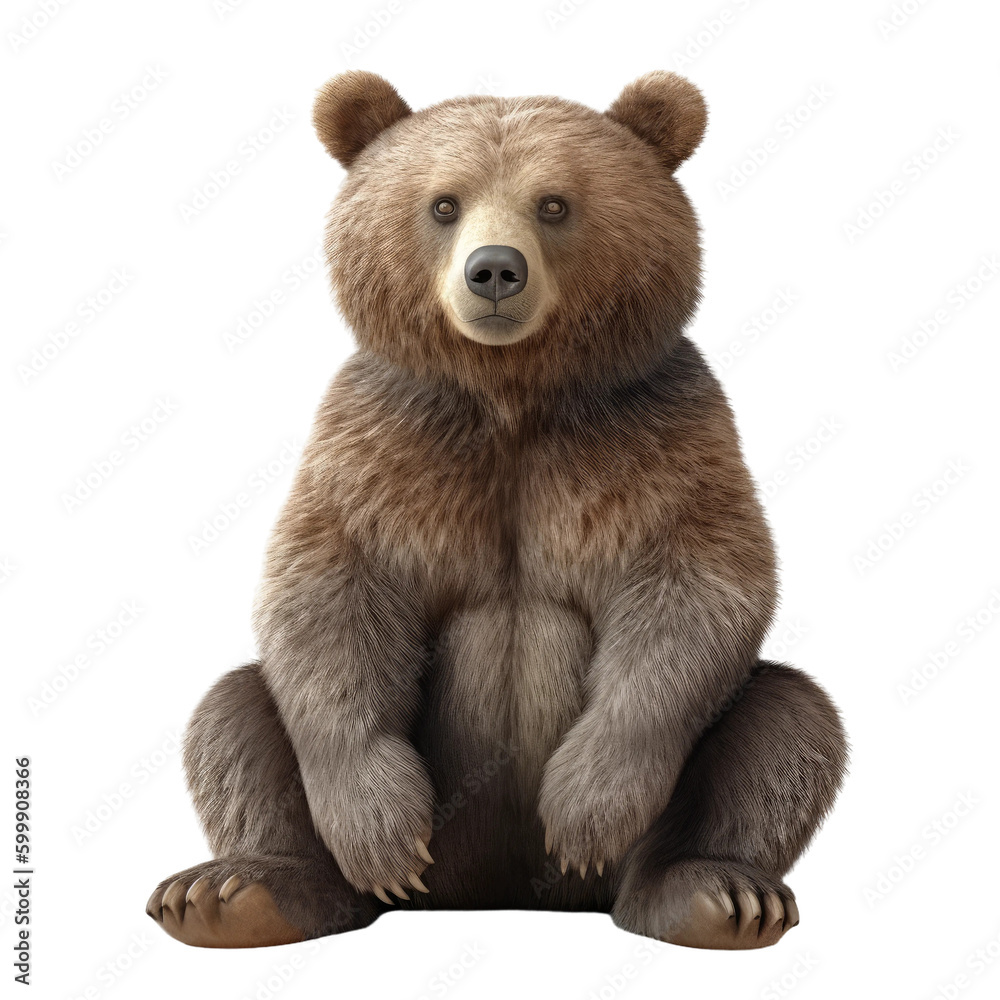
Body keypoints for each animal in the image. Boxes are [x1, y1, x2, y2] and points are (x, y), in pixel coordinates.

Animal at [146, 70, 848, 950]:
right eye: (444, 203)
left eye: (554, 203)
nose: (494, 271)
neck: (512, 400)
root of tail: (502, 889)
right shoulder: (382, 447)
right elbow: (327, 596)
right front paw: (380, 835)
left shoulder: (659, 436)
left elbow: (697, 591)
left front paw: (585, 810)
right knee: (234, 712)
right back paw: (235, 892)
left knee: (788, 722)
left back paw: (717, 894)